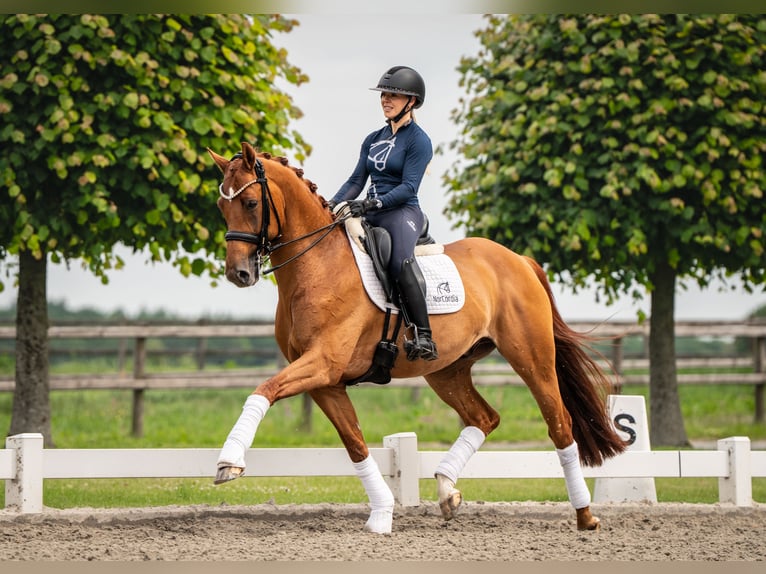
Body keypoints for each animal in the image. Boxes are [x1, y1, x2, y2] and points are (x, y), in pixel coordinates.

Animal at [207, 141, 626, 533]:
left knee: (560, 425)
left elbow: (263, 390)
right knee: (485, 417)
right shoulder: (325, 381)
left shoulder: (323, 363)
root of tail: (518, 260)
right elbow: (355, 443)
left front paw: (229, 461)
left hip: (532, 360)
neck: (318, 264)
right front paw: (382, 514)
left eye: (250, 202)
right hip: (446, 370)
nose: (238, 273)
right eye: (220, 206)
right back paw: (446, 490)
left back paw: (585, 515)